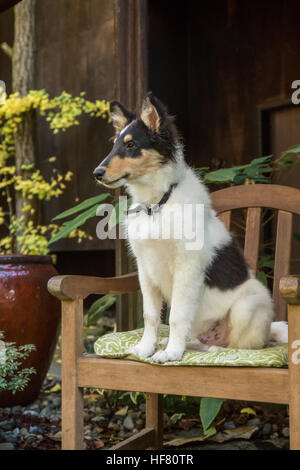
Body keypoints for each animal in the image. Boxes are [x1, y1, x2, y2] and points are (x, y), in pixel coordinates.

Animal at [94, 92, 288, 364]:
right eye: (114, 145)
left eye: (131, 146)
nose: (97, 173)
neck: (157, 204)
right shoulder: (145, 268)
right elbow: (150, 315)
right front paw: (147, 348)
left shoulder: (187, 268)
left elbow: (175, 316)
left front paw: (172, 353)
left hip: (250, 300)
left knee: (245, 346)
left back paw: (215, 349)